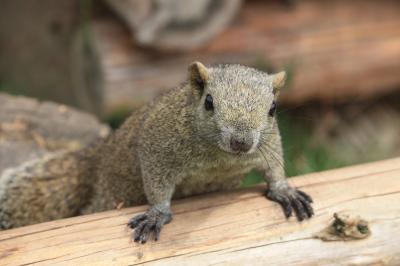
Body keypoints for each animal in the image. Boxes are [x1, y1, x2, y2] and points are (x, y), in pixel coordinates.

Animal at [0, 61, 312, 243]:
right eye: (209, 102)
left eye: (273, 108)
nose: (241, 142)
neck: (221, 158)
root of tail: (101, 153)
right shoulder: (156, 147)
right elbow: (157, 184)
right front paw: (158, 213)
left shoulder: (269, 144)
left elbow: (274, 167)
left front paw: (283, 190)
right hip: (110, 193)